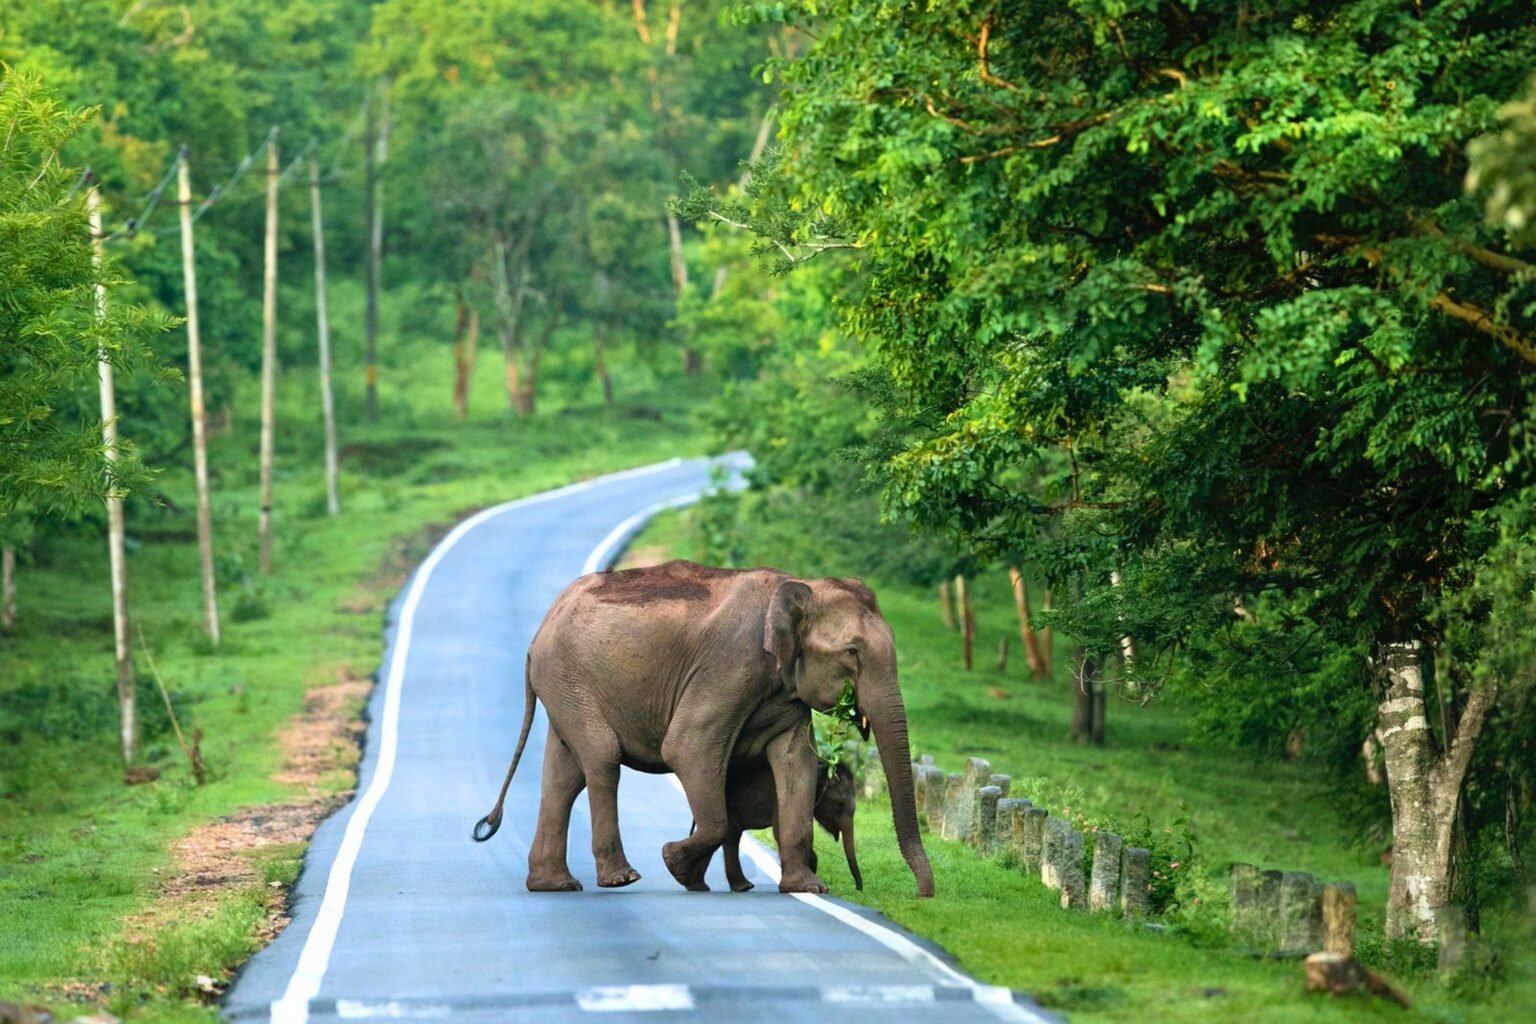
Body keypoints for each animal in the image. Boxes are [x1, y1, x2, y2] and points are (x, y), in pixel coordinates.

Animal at [716, 756, 863, 893]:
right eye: (840, 804)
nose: (858, 888)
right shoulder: (781, 797)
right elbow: (780, 831)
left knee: (731, 835)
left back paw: (743, 887)